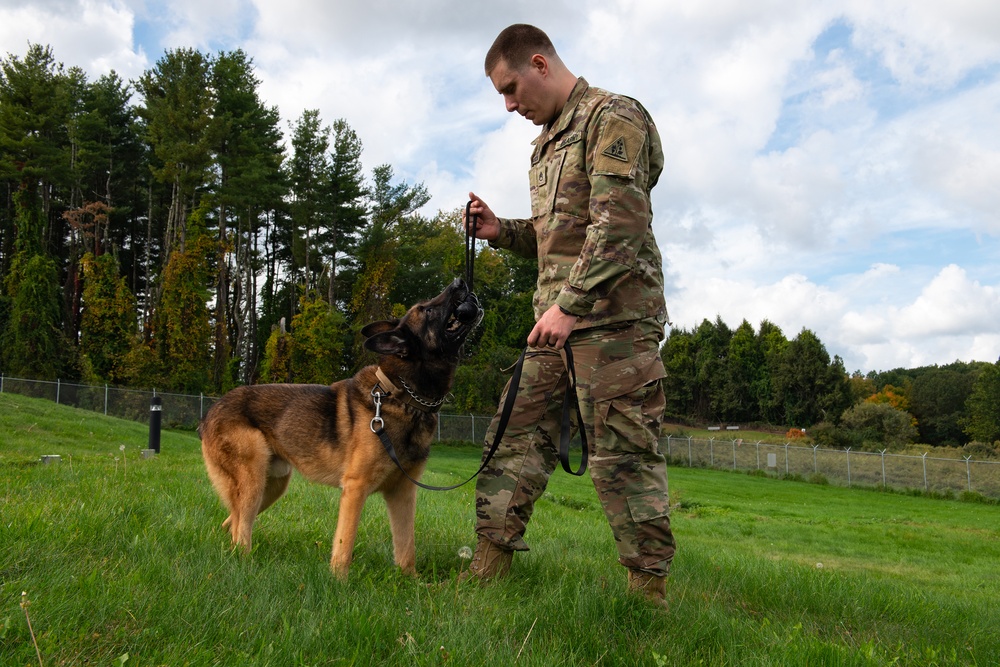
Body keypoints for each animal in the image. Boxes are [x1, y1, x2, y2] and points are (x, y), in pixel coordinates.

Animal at [199, 278, 480, 580]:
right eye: (426, 310)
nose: (460, 282)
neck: (402, 396)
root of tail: (210, 413)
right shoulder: (355, 489)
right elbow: (345, 544)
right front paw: (339, 581)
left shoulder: (402, 493)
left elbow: (407, 548)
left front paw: (412, 582)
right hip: (254, 482)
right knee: (241, 530)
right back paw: (246, 564)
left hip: (270, 486)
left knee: (232, 522)